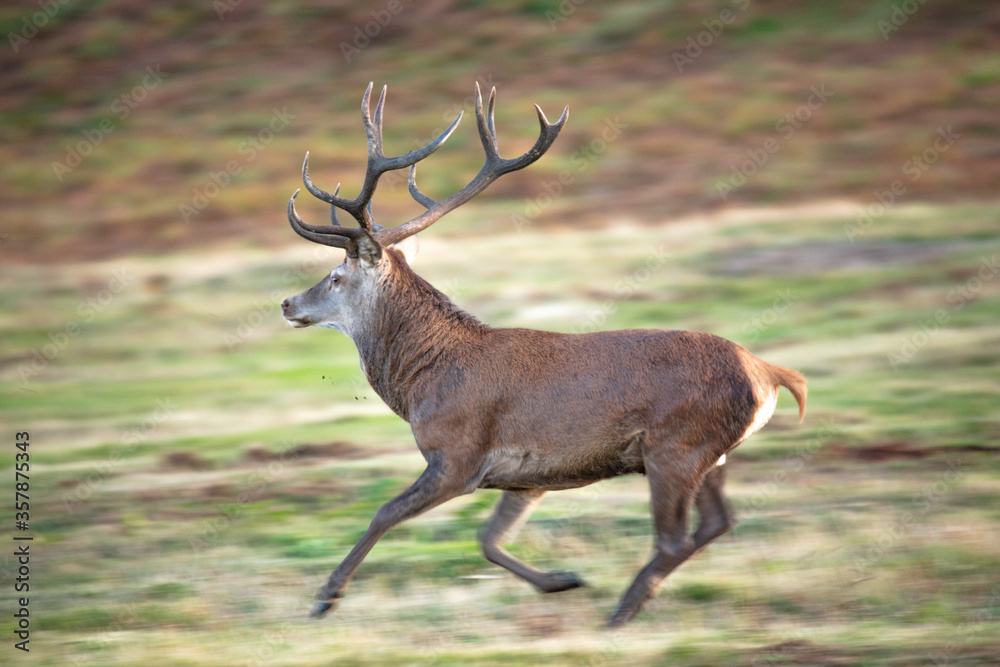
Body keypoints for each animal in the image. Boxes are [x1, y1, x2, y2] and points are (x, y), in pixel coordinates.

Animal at [280, 82, 807, 627]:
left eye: (335, 277)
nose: (287, 303)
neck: (422, 382)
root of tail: (769, 373)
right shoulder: (526, 475)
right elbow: (488, 540)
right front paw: (562, 579)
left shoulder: (458, 455)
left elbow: (385, 513)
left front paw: (326, 596)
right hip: (710, 454)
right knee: (717, 522)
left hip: (676, 445)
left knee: (675, 537)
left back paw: (623, 610)